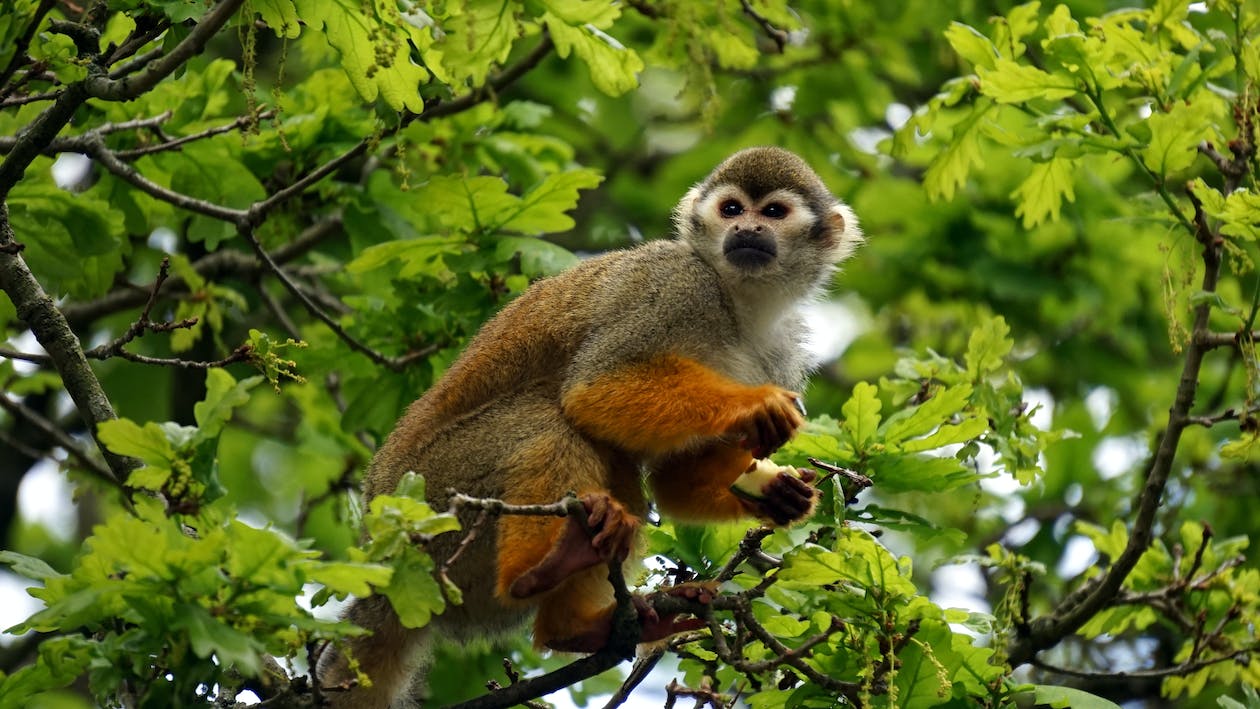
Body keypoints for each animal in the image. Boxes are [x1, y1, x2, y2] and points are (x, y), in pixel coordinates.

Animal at [317, 146, 863, 708]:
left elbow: (672, 480)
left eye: (773, 213)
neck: (739, 304)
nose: (748, 229)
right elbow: (592, 389)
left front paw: (778, 495)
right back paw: (539, 571)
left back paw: (577, 624)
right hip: (433, 500)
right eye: (732, 209)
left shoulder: (784, 351)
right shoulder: (674, 284)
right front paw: (754, 406)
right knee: (550, 419)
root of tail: (382, 550)